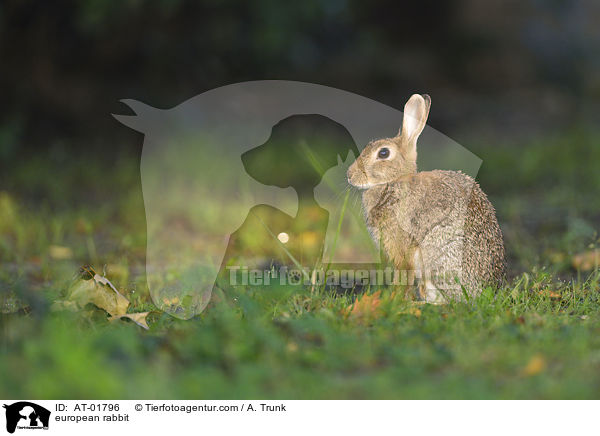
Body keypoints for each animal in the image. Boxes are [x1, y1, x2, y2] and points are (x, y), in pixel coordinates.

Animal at [346, 93, 506, 302]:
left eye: (383, 153)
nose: (349, 175)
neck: (395, 181)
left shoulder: (401, 247)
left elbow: (403, 276)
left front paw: (394, 299)